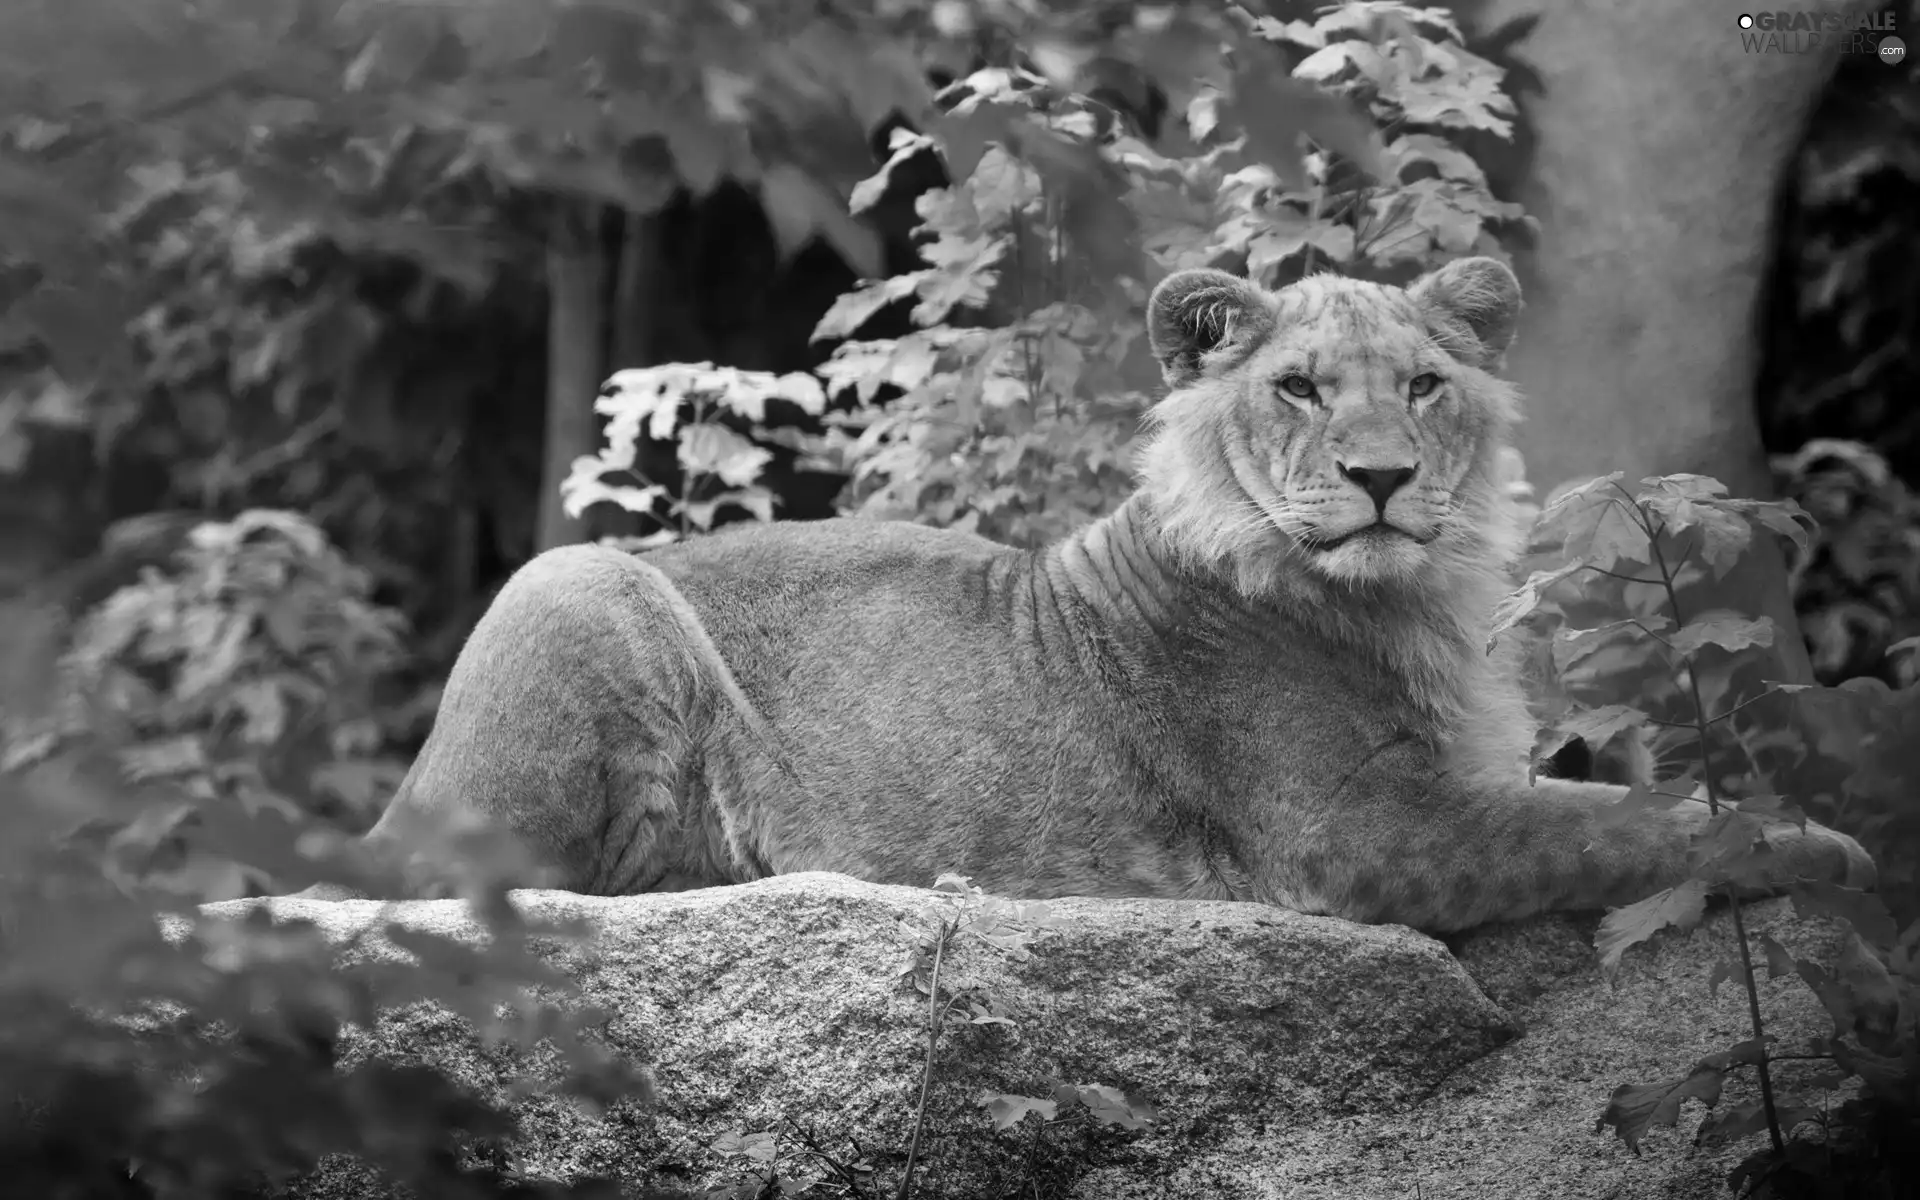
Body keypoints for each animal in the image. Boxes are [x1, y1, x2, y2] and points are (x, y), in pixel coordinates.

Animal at [334, 259, 1873, 936]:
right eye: (1297, 388)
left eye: (1426, 386)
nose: (1380, 476)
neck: (1414, 596)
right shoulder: (1361, 839)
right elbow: (1641, 823)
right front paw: (1835, 847)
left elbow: (1632, 806)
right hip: (573, 578)